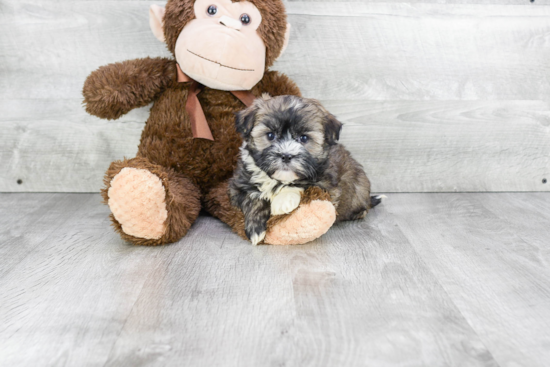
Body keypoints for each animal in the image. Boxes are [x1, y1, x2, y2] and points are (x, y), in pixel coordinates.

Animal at [231, 95, 382, 246]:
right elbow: (251, 197)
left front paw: (283, 201)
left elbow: (305, 184)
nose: (286, 155)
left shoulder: (328, 183)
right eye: (270, 135)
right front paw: (255, 229)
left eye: (303, 138)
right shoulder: (237, 185)